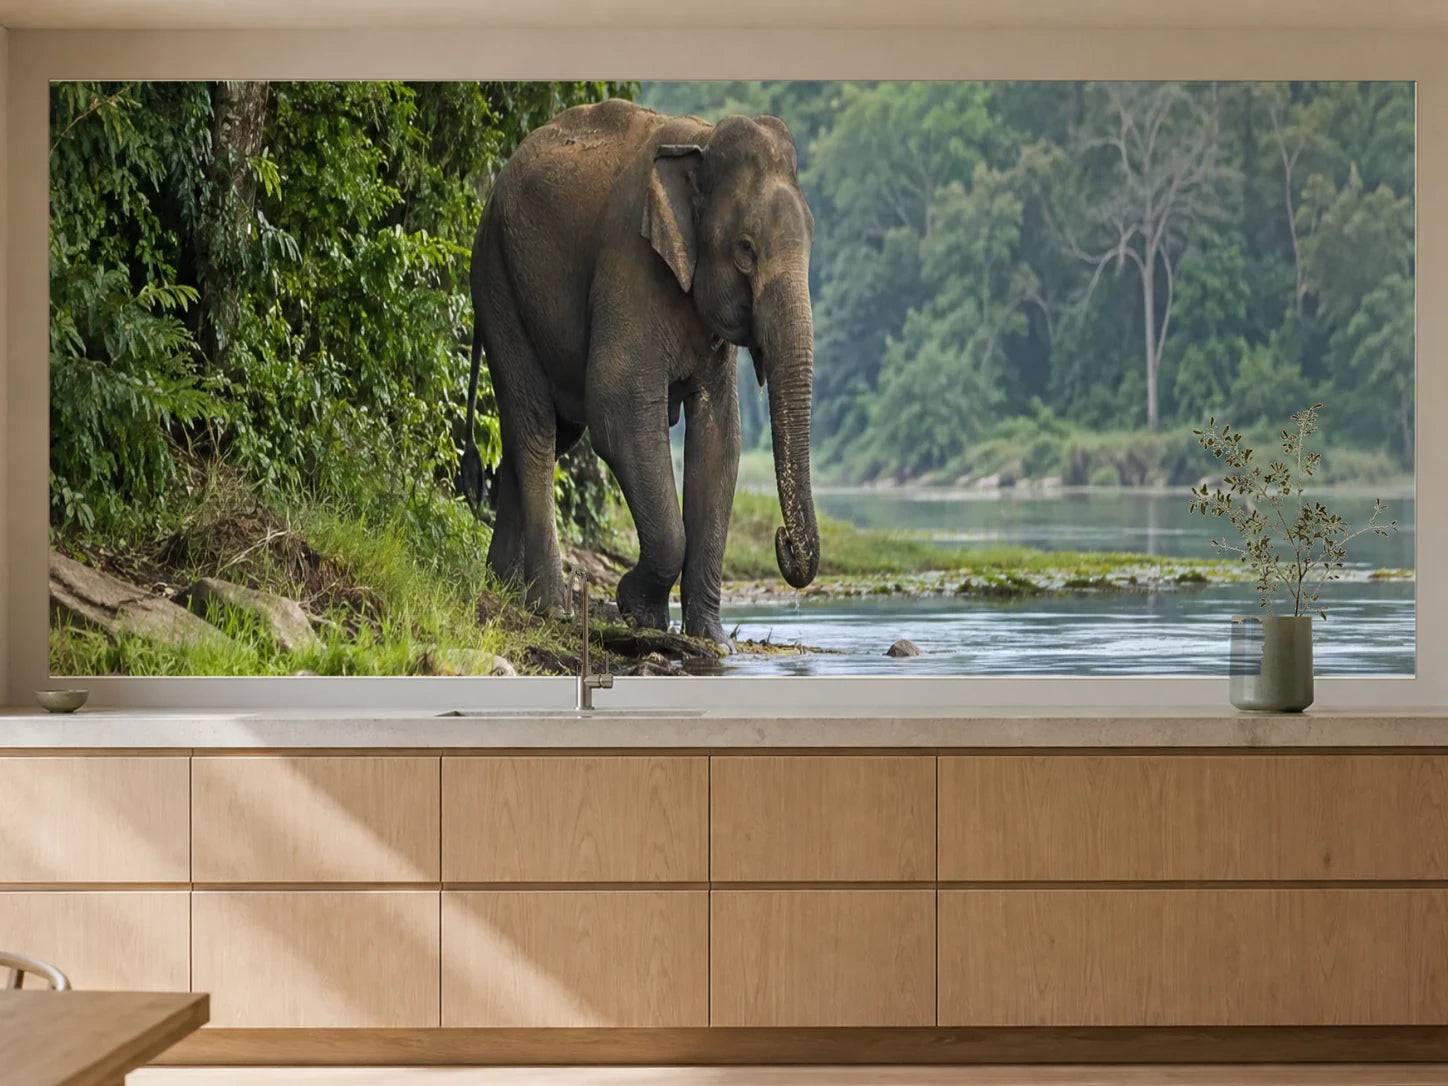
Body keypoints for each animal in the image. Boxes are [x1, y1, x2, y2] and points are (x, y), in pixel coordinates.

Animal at [459, 98, 821, 647]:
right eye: (745, 249)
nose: (782, 540)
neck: (700, 143)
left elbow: (720, 438)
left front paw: (710, 639)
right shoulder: (630, 262)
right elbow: (619, 409)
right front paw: (638, 612)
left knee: (549, 434)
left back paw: (503, 588)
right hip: (497, 282)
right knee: (535, 428)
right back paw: (551, 607)